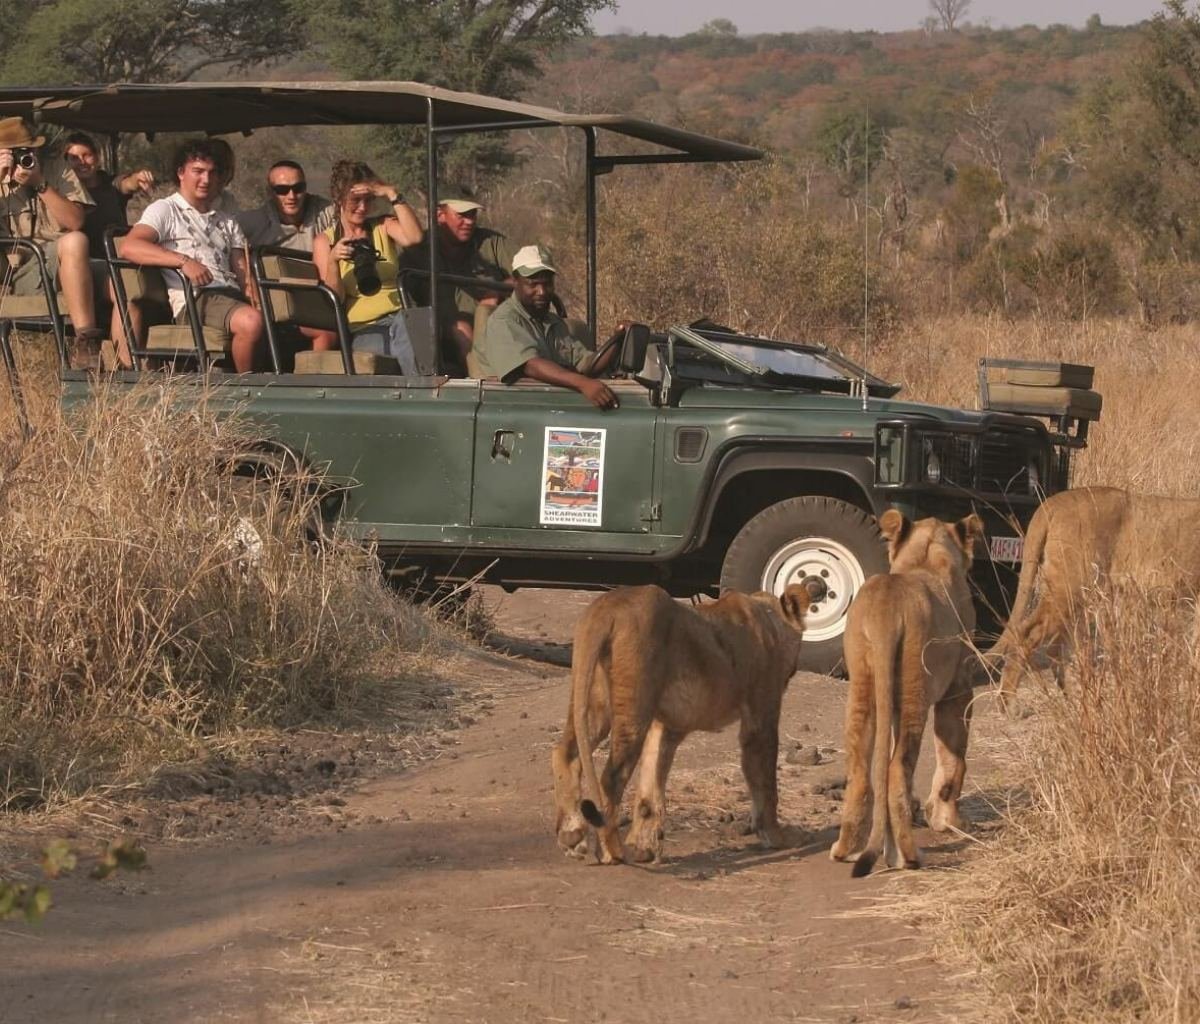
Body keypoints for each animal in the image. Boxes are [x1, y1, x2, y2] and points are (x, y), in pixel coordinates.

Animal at [551, 583, 811, 865]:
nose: (793, 671)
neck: (768, 618)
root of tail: (608, 607)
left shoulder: (666, 727)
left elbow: (650, 788)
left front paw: (643, 848)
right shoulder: (761, 718)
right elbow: (765, 782)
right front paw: (778, 837)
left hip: (594, 701)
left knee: (565, 752)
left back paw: (572, 835)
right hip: (633, 706)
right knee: (611, 777)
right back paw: (612, 850)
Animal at [830, 510, 983, 877]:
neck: (925, 557)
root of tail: (887, 607)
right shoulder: (958, 689)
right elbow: (954, 758)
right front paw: (948, 821)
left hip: (864, 685)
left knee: (863, 771)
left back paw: (847, 851)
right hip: (916, 689)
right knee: (898, 770)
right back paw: (910, 857)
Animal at [994, 486, 1200, 704]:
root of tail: (1052, 503)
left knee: (1057, 647)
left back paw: (1077, 698)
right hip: (1069, 586)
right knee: (1027, 633)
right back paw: (1008, 703)